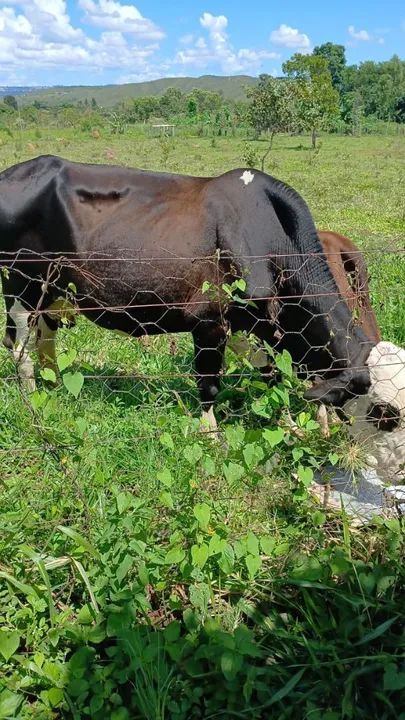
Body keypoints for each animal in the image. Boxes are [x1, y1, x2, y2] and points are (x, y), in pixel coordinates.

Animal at [0, 155, 373, 431]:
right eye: (376, 410)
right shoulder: (210, 321)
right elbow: (209, 384)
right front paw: (211, 435)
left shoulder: (254, 324)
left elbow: (272, 374)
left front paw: (288, 425)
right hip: (21, 289)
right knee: (20, 350)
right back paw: (35, 404)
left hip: (52, 291)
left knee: (45, 339)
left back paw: (54, 387)